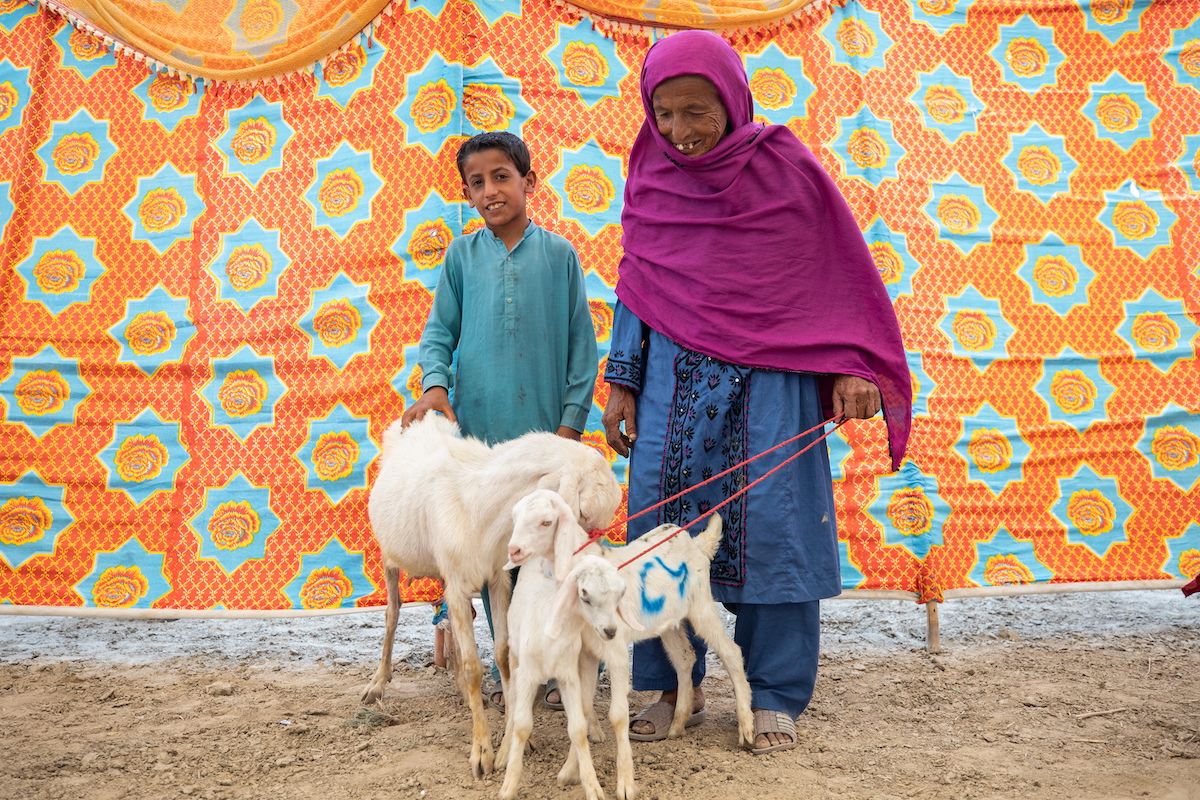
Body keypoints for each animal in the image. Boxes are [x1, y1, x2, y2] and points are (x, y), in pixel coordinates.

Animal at [363, 415, 621, 778]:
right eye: (583, 513)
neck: (480, 503)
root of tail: (422, 421)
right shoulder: (458, 583)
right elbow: (474, 666)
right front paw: (482, 751)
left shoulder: (498, 579)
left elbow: (503, 653)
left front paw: (517, 738)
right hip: (390, 554)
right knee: (393, 613)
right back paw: (378, 683)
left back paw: (459, 688)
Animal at [496, 555, 643, 800]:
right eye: (584, 594)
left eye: (620, 594)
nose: (611, 631)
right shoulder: (527, 675)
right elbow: (522, 725)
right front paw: (508, 787)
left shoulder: (568, 676)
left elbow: (577, 729)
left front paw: (593, 787)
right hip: (515, 656)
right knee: (513, 702)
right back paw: (503, 752)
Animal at [507, 488, 756, 749]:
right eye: (515, 518)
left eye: (546, 522)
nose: (514, 550)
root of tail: (697, 544)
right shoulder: (585, 648)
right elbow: (583, 701)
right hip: (669, 621)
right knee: (684, 659)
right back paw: (677, 724)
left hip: (701, 605)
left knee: (731, 652)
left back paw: (746, 729)